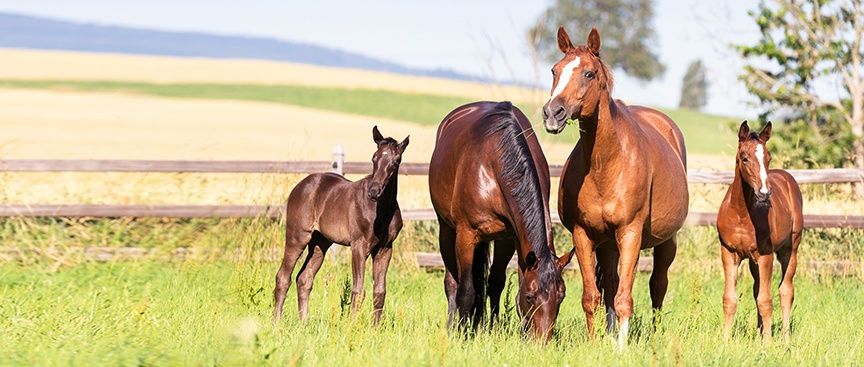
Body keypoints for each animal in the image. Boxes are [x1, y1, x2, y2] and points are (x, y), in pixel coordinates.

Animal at [276, 126, 412, 324]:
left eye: (396, 162)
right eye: (374, 158)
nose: (374, 191)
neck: (382, 210)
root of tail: (300, 185)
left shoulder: (385, 248)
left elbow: (379, 291)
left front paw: (376, 328)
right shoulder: (359, 246)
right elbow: (358, 289)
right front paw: (353, 326)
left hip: (320, 243)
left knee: (304, 278)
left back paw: (304, 324)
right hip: (297, 237)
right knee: (283, 277)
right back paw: (276, 322)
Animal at [430, 100, 572, 342]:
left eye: (560, 297)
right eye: (530, 296)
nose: (542, 342)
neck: (495, 166)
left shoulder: (509, 238)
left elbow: (496, 283)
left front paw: (495, 329)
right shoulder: (466, 235)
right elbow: (466, 290)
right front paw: (462, 334)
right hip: (446, 229)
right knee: (452, 282)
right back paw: (452, 326)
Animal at [548, 27, 688, 350]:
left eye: (588, 73)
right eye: (555, 70)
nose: (552, 112)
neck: (606, 163)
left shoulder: (630, 233)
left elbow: (626, 298)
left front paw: (622, 350)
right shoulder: (583, 234)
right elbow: (592, 297)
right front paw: (595, 344)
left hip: (665, 241)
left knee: (657, 285)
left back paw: (652, 333)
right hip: (609, 245)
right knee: (611, 285)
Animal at [716, 122, 804, 344]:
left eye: (769, 157)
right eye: (744, 157)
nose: (764, 193)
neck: (741, 213)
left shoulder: (765, 255)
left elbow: (766, 300)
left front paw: (767, 344)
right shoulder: (728, 252)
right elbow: (730, 299)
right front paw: (725, 341)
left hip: (790, 249)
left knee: (785, 290)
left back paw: (785, 339)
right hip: (753, 261)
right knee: (757, 289)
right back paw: (759, 331)